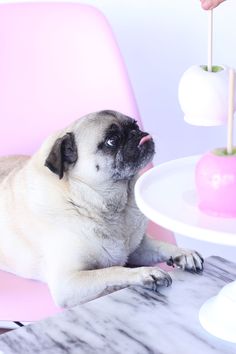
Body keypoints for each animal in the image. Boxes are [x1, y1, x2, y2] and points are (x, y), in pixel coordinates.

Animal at [0, 110, 203, 306]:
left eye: (135, 125)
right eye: (111, 140)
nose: (137, 133)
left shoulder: (137, 248)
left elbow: (160, 245)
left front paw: (183, 253)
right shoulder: (68, 281)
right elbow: (112, 271)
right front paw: (144, 273)